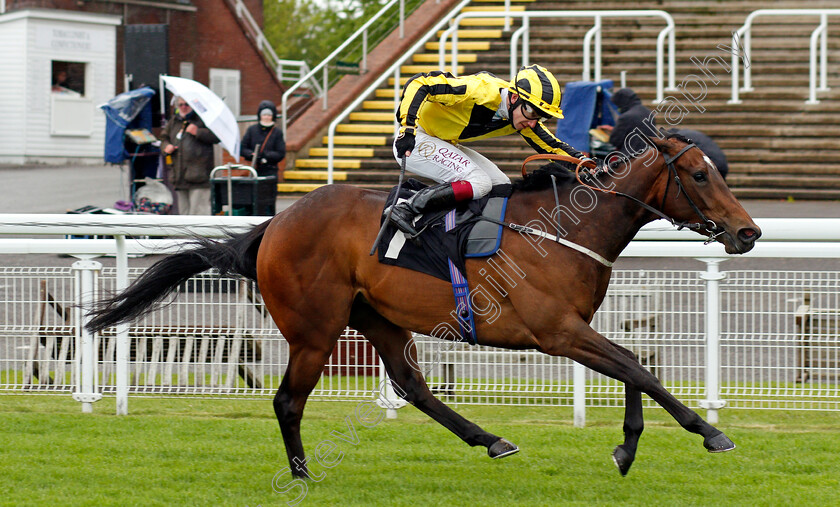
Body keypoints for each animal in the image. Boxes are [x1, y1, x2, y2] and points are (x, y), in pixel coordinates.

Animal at [87, 134, 760, 476]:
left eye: (719, 172)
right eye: (700, 176)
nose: (749, 232)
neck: (566, 227)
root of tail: (273, 225)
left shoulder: (574, 330)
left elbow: (632, 367)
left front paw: (627, 447)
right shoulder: (556, 331)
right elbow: (636, 367)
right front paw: (709, 432)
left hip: (379, 319)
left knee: (413, 386)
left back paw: (489, 439)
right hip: (315, 330)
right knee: (287, 401)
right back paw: (301, 474)